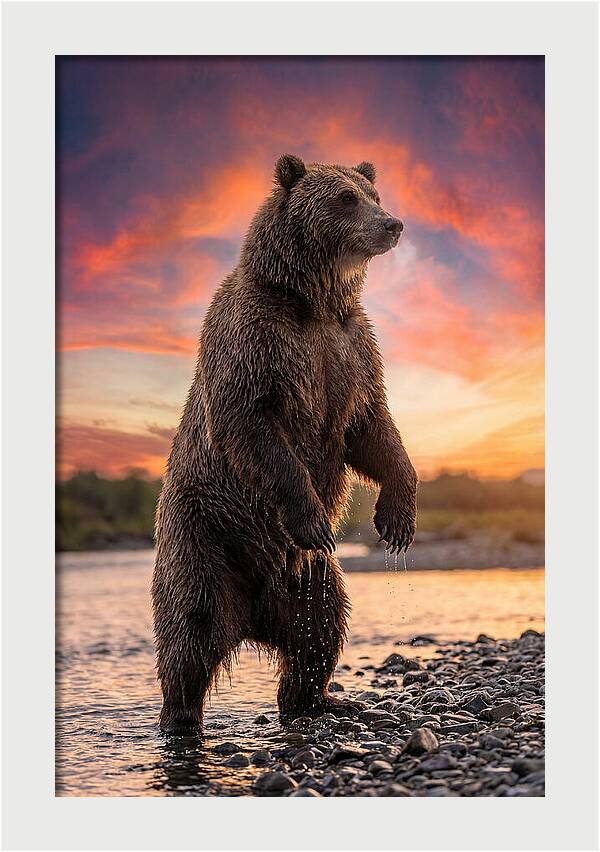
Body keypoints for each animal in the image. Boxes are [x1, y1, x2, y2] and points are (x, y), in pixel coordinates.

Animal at [152, 154, 418, 733]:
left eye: (373, 193)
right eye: (345, 198)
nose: (392, 224)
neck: (312, 301)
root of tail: (252, 615)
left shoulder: (351, 350)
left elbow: (373, 428)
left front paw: (397, 519)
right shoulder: (257, 341)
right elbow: (253, 425)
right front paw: (315, 517)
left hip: (307, 579)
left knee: (321, 627)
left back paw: (319, 699)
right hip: (205, 536)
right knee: (191, 629)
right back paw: (180, 718)